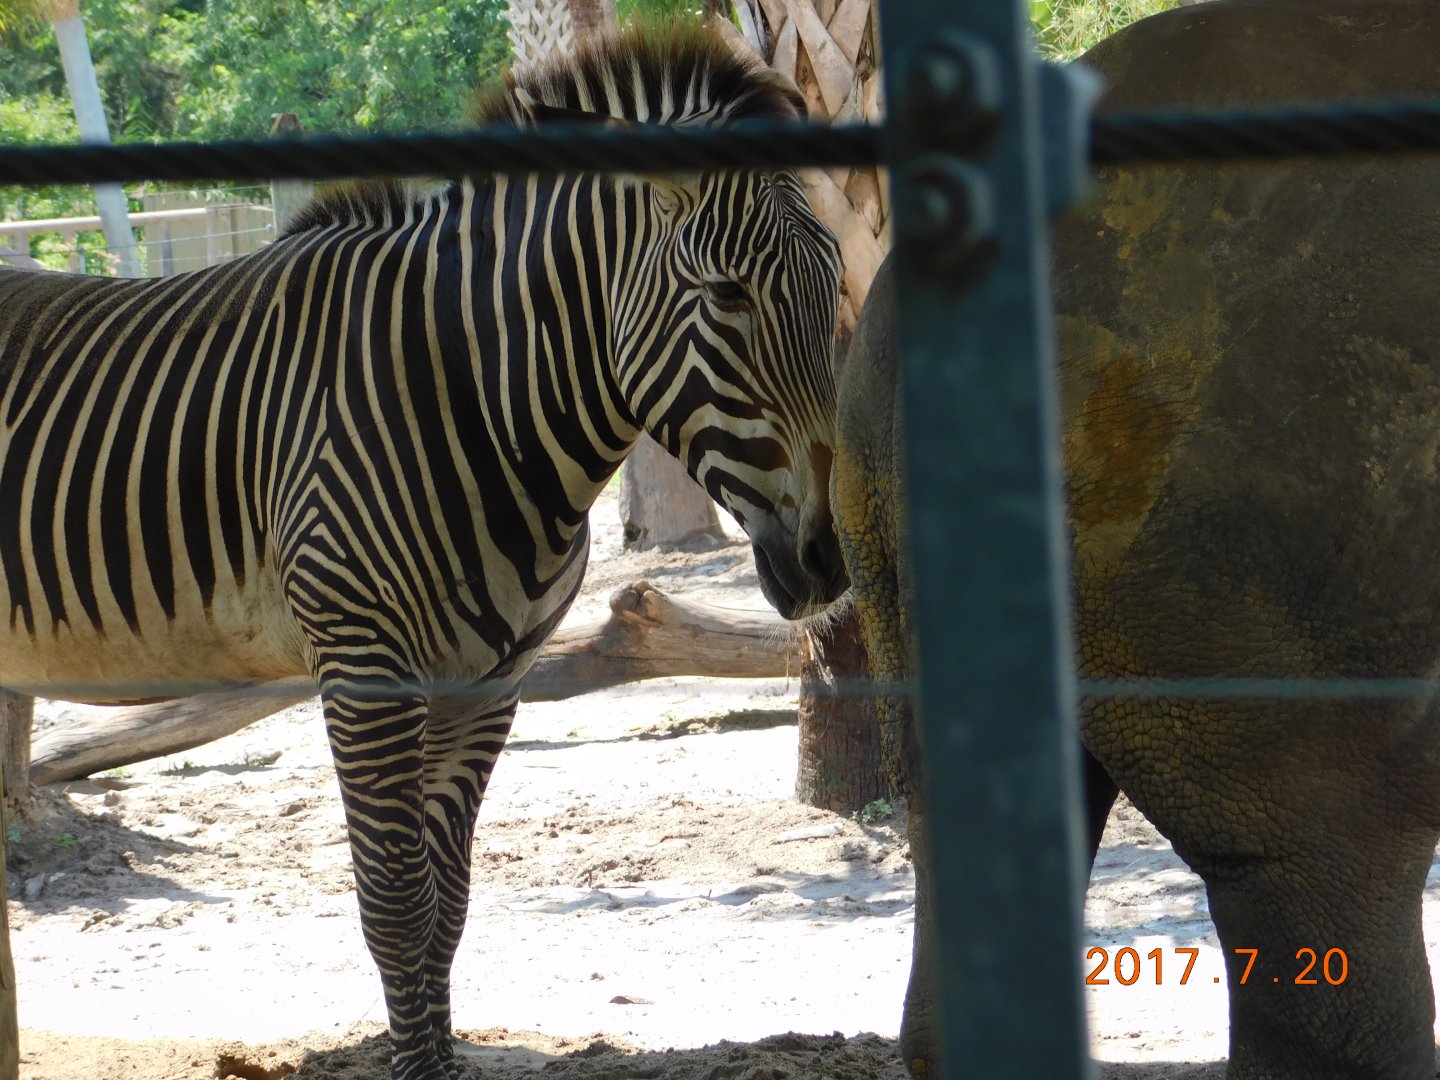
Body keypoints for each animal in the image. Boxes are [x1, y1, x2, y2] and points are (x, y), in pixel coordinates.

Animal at [0, 25, 845, 1080]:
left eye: (838, 282)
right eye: (727, 295)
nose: (826, 563)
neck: (475, 400)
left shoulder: (489, 677)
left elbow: (448, 909)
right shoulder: (365, 665)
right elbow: (397, 909)